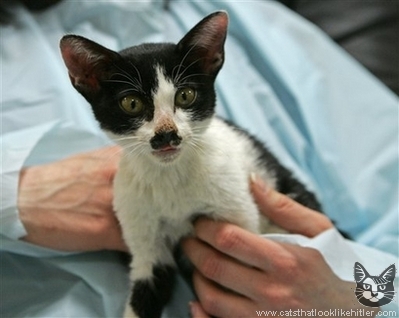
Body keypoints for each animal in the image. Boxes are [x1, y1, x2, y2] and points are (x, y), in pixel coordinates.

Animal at [59, 11, 322, 318]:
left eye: (185, 95)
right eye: (131, 103)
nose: (166, 134)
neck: (170, 177)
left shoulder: (238, 218)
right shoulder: (145, 237)